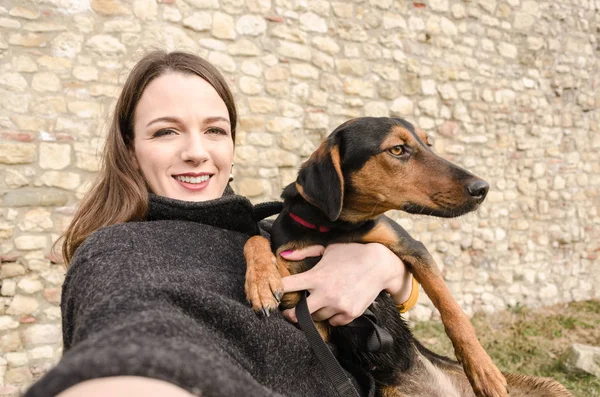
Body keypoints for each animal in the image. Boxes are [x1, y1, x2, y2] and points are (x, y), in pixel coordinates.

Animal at [244, 117, 572, 396]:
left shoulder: (411, 247)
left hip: (551, 386)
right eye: (398, 150)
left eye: (429, 144)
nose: (483, 188)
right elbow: (257, 239)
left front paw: (483, 369)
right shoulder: (310, 317)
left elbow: (452, 311)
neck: (335, 228)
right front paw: (261, 282)